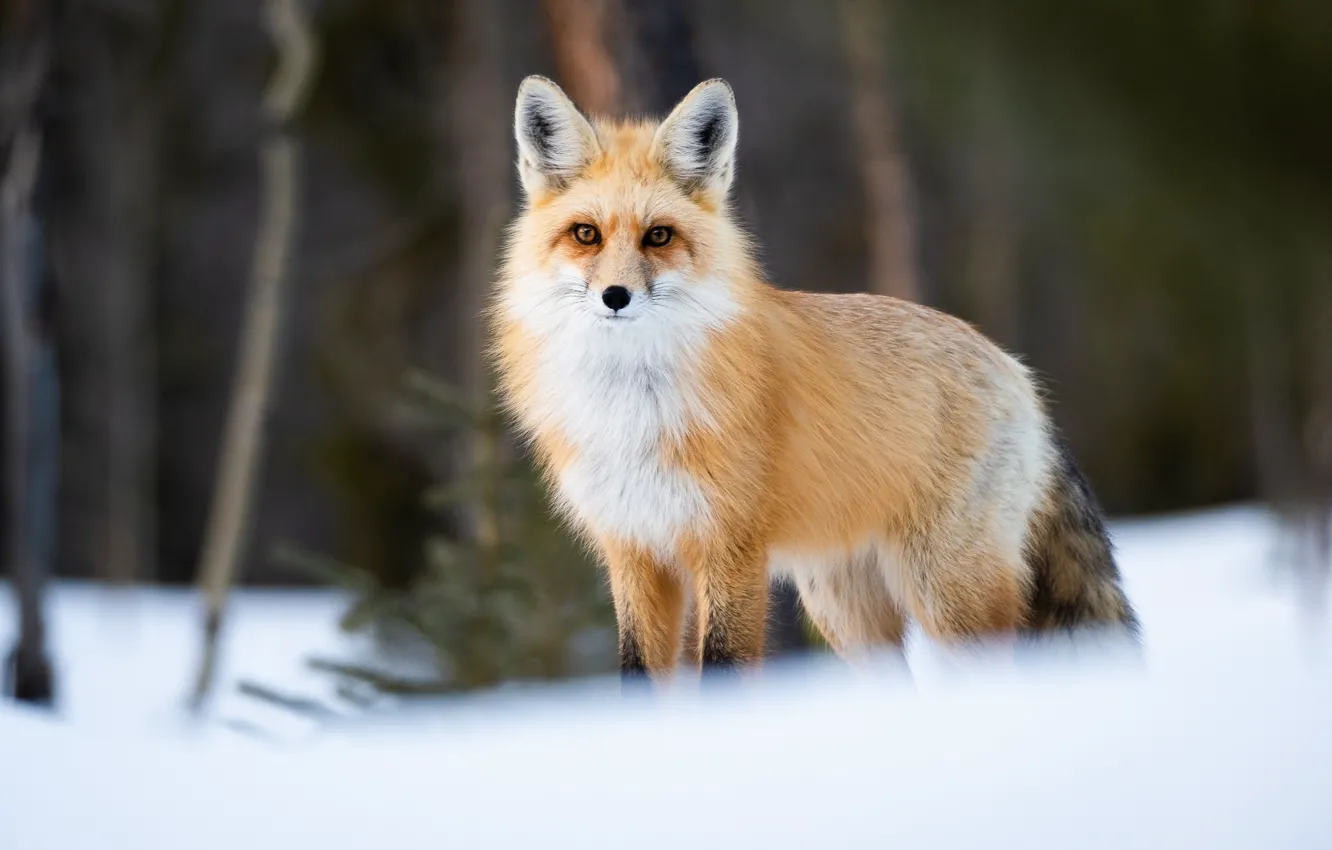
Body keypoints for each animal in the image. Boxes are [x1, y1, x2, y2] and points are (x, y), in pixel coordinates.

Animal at [487, 73, 1134, 687]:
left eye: (659, 236)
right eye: (586, 234)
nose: (615, 296)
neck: (631, 413)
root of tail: (1015, 369)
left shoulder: (730, 550)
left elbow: (723, 669)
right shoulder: (635, 551)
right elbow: (637, 677)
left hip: (947, 592)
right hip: (844, 608)